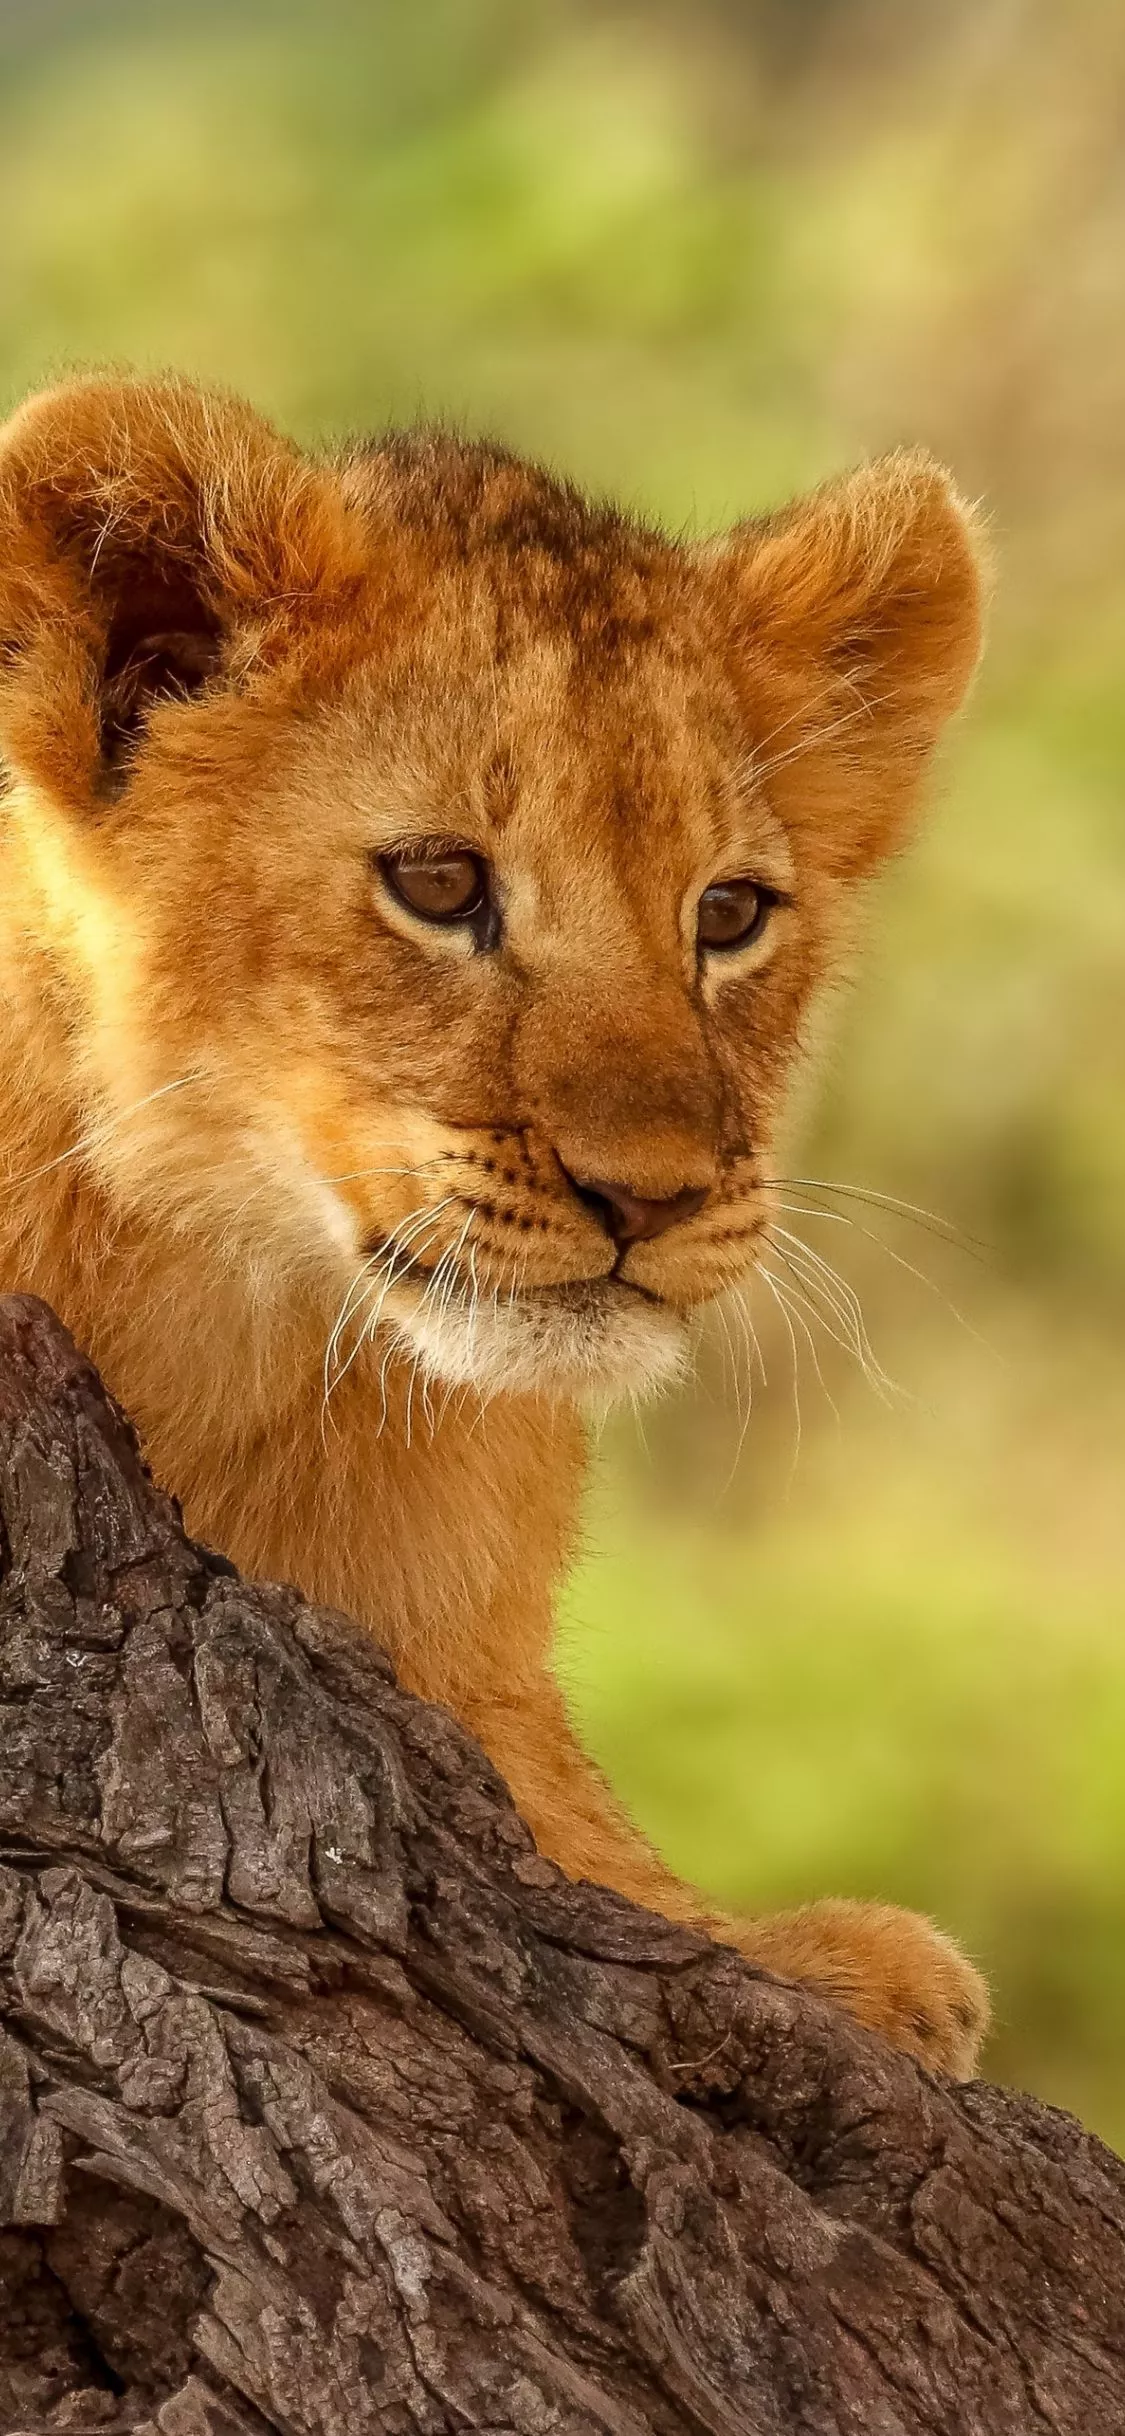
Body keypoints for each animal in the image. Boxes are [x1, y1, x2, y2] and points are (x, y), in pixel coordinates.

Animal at [0, 375, 989, 2074]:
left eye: (729, 915)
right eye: (438, 881)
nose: (652, 1193)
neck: (222, 1306)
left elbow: (585, 1843)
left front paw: (826, 1964)